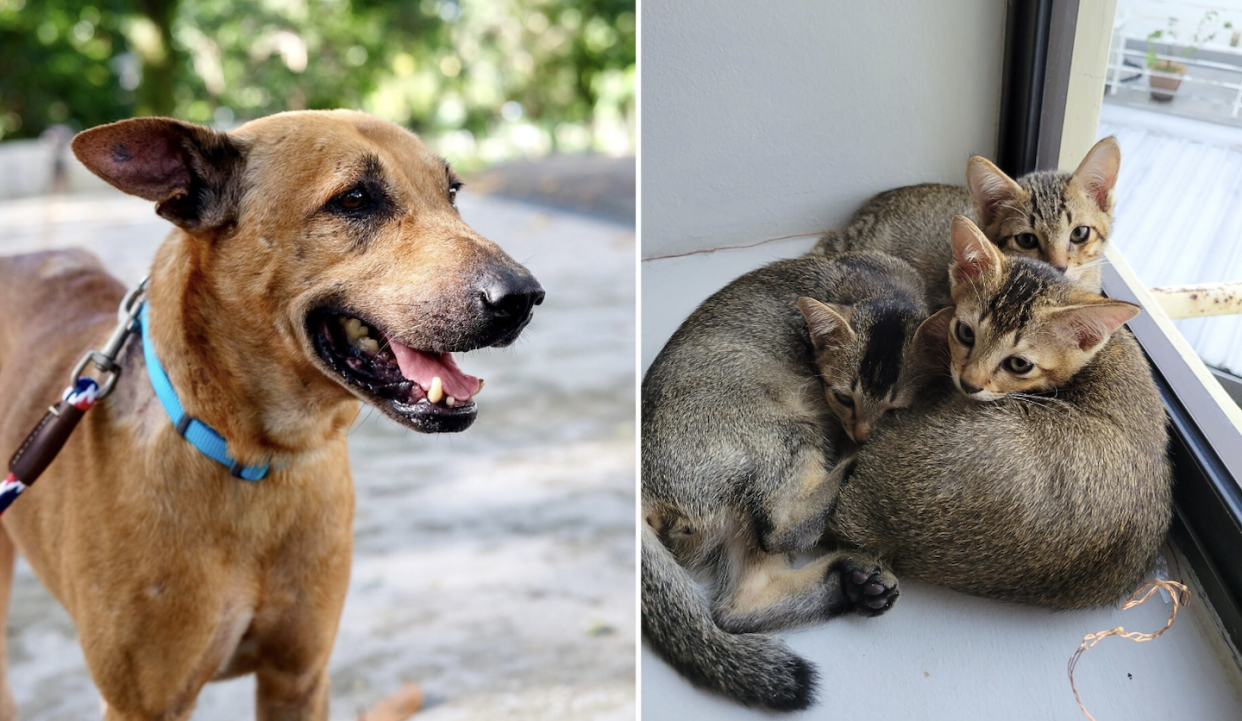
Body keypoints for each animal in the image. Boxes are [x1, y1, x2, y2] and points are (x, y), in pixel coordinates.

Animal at [0, 109, 543, 714]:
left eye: (451, 192)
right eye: (355, 198)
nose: (524, 297)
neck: (256, 459)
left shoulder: (299, 676)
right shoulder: (143, 705)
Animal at [640, 249, 938, 709]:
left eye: (894, 409)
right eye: (842, 397)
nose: (862, 432)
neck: (878, 284)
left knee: (735, 609)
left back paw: (854, 585)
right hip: (788, 429)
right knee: (780, 528)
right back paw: (852, 468)